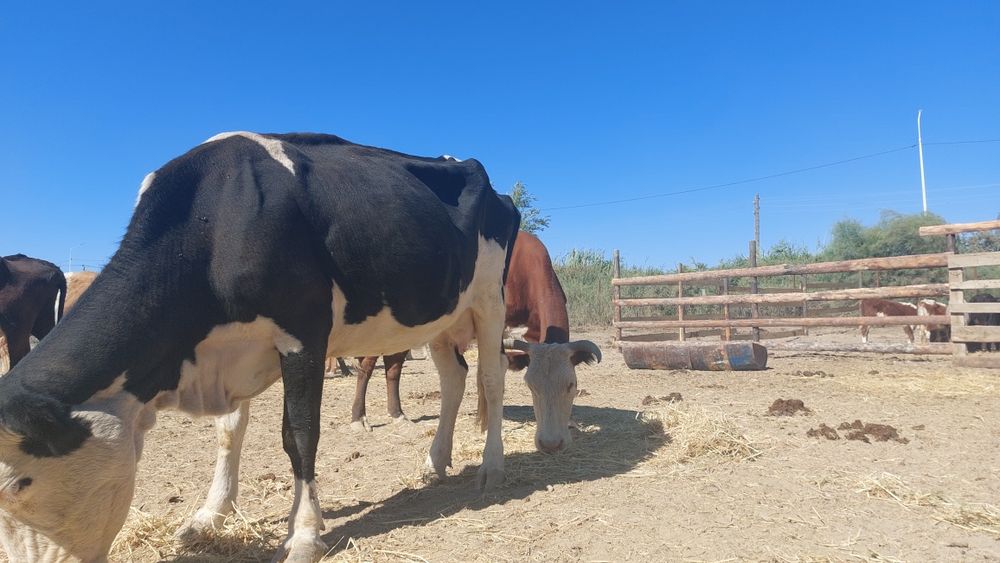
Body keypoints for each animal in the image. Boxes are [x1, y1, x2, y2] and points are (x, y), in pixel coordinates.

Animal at [0, 132, 520, 563]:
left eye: (20, 484)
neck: (219, 220)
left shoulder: (304, 336)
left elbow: (300, 436)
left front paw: (304, 534)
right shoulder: (226, 352)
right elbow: (229, 432)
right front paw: (211, 514)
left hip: (489, 299)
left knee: (491, 379)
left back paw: (491, 467)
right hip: (442, 315)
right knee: (453, 378)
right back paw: (436, 462)